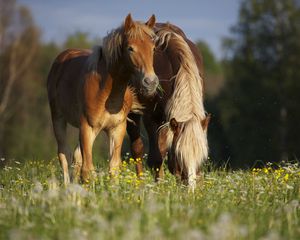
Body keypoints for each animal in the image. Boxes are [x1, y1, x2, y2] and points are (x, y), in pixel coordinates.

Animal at [47, 14, 159, 184]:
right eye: (130, 48)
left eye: (153, 48)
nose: (150, 82)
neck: (107, 93)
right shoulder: (87, 127)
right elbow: (87, 170)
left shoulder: (117, 129)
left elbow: (113, 168)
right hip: (59, 118)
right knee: (64, 154)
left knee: (76, 157)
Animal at [127, 23, 211, 190]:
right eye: (180, 156)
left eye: (202, 157)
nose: (191, 189)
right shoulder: (151, 118)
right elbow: (156, 158)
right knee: (137, 149)